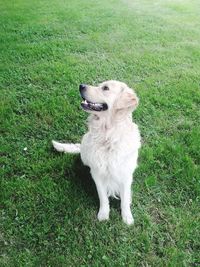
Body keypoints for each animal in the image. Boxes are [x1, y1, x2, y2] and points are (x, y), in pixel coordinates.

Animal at [52, 80, 141, 226]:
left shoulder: (125, 174)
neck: (108, 137)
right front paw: (103, 214)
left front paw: (127, 217)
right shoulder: (97, 173)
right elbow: (103, 196)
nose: (81, 86)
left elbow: (125, 198)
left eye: (105, 88)